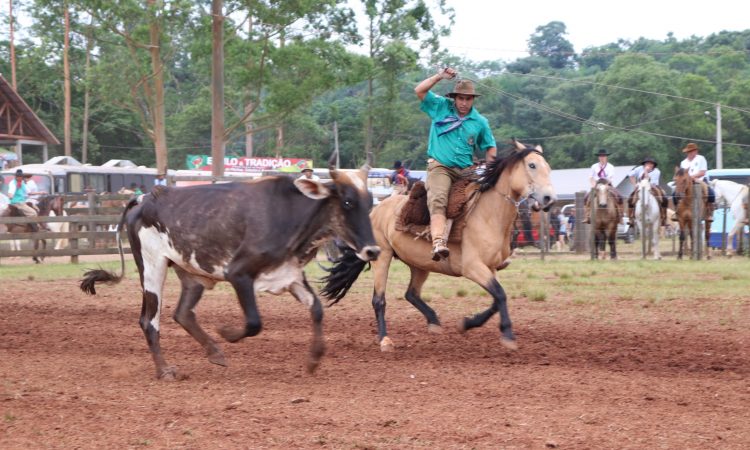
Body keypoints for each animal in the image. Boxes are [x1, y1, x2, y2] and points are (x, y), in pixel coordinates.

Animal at [324, 141, 560, 352]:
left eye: (548, 168)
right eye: (532, 165)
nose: (549, 198)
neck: (488, 214)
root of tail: (376, 210)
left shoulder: (490, 268)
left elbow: (496, 298)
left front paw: (467, 323)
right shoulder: (472, 267)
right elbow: (500, 295)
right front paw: (508, 336)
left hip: (420, 264)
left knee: (411, 294)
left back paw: (434, 321)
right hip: (382, 257)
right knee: (379, 300)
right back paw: (385, 340)